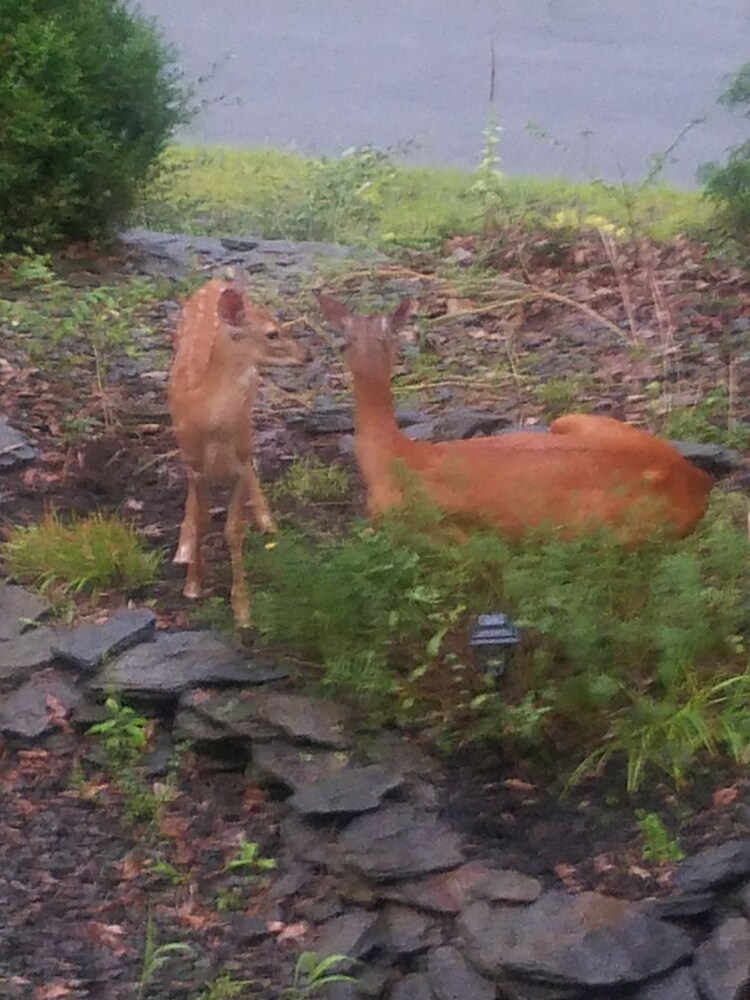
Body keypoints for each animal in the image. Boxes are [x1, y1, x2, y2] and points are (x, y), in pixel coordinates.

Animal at [169, 278, 304, 624]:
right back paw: (182, 548)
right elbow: (202, 519)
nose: (307, 354)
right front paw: (193, 584)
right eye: (272, 333)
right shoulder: (195, 467)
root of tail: (214, 281)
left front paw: (242, 608)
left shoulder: (240, 462)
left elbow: (233, 531)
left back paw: (267, 520)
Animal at [318, 292, 716, 544]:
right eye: (346, 339)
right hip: (571, 420)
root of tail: (699, 483)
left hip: (608, 529)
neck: (394, 456)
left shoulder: (425, 525)